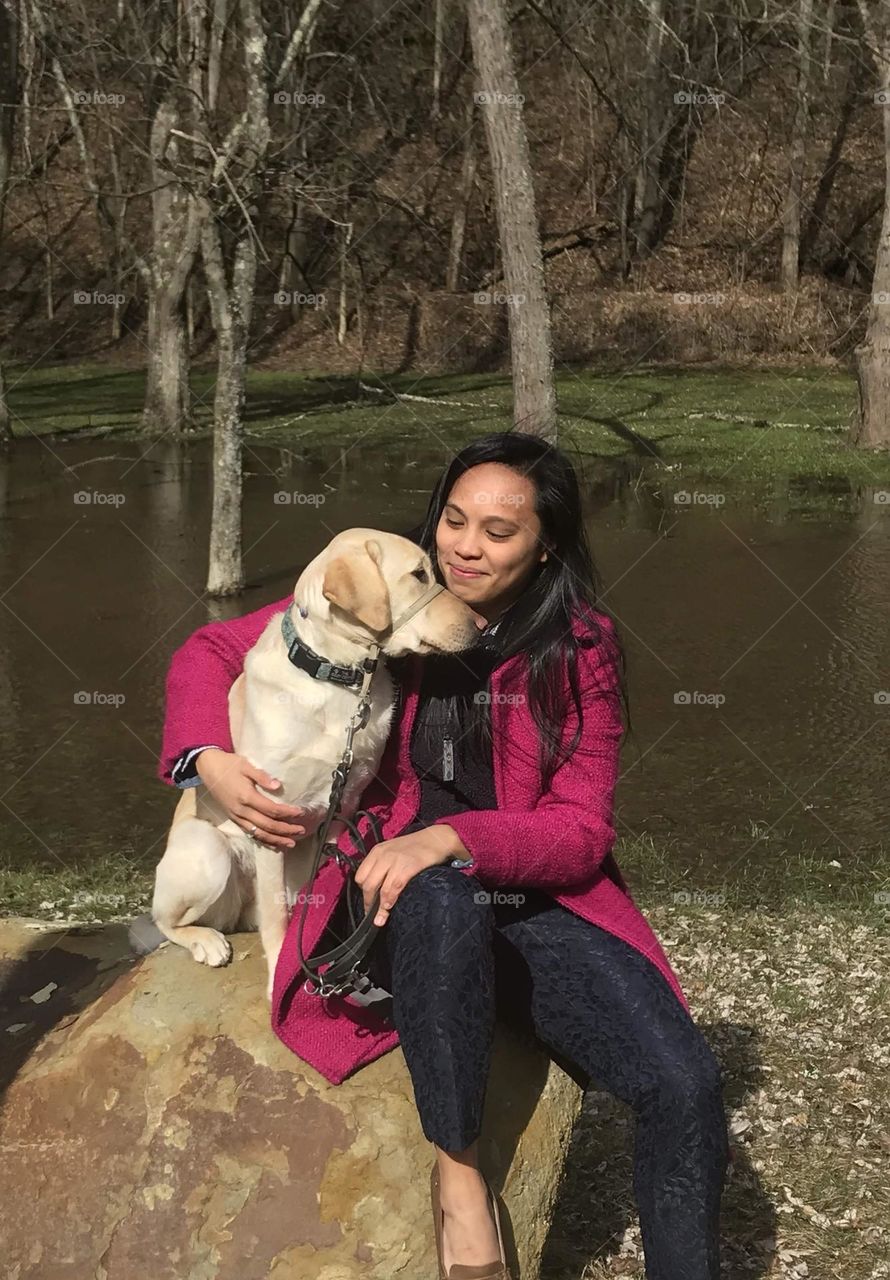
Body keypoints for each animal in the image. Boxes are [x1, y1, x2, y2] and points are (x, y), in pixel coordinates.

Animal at [152, 529, 481, 998]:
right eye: (418, 575)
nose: (481, 625)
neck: (341, 677)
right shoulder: (270, 820)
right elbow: (277, 918)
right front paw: (278, 975)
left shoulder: (344, 807)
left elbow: (309, 899)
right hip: (208, 850)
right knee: (167, 921)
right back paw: (206, 941)